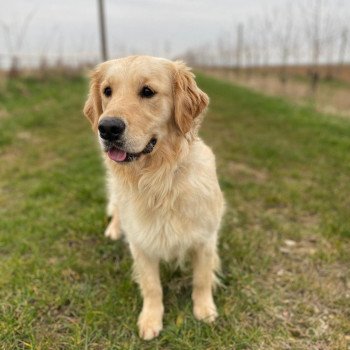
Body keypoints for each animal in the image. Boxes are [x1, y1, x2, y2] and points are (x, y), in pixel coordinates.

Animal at [83, 56, 223, 340]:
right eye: (107, 91)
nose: (107, 128)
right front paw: (150, 319)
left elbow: (202, 278)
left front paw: (204, 310)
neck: (159, 180)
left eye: (147, 91)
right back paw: (114, 229)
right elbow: (152, 286)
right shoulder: (141, 244)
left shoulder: (205, 238)